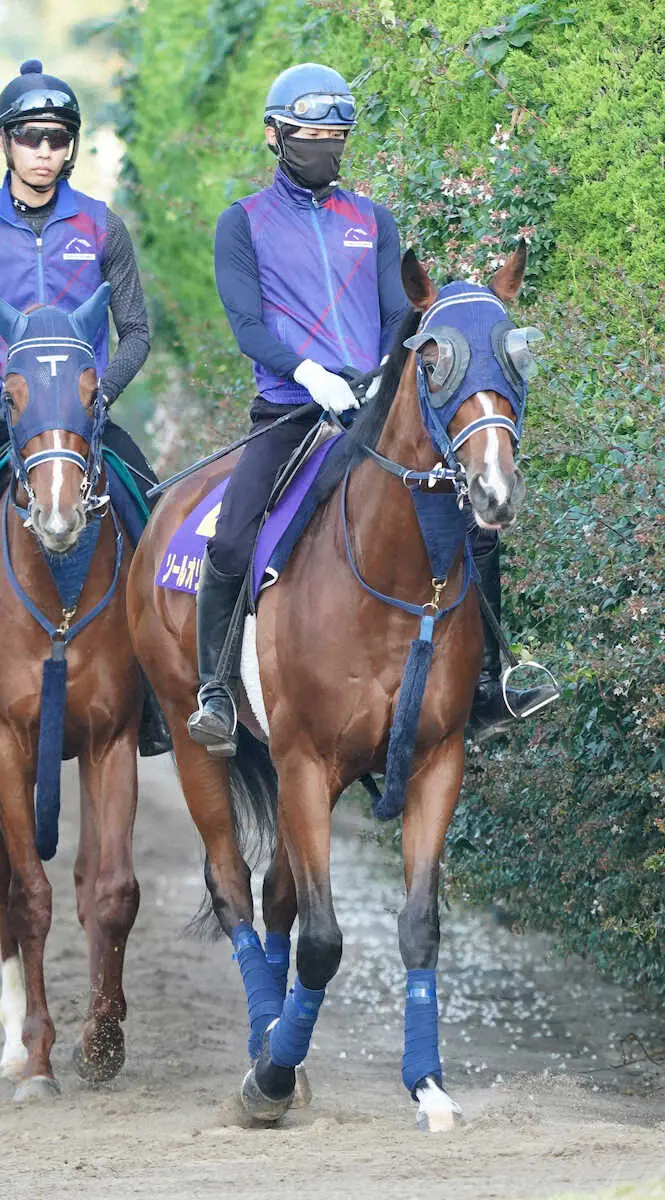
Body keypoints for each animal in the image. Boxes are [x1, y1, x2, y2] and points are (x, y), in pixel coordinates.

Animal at [127, 246, 532, 1132]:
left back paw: (276, 1035)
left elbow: (417, 925)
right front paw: (271, 1081)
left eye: (518, 353)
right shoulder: (307, 763)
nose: (492, 490)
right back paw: (262, 1046)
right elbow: (321, 941)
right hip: (198, 741)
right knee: (237, 890)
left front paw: (427, 1084)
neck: (397, 581)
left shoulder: (434, 762)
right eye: (433, 359)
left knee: (279, 894)